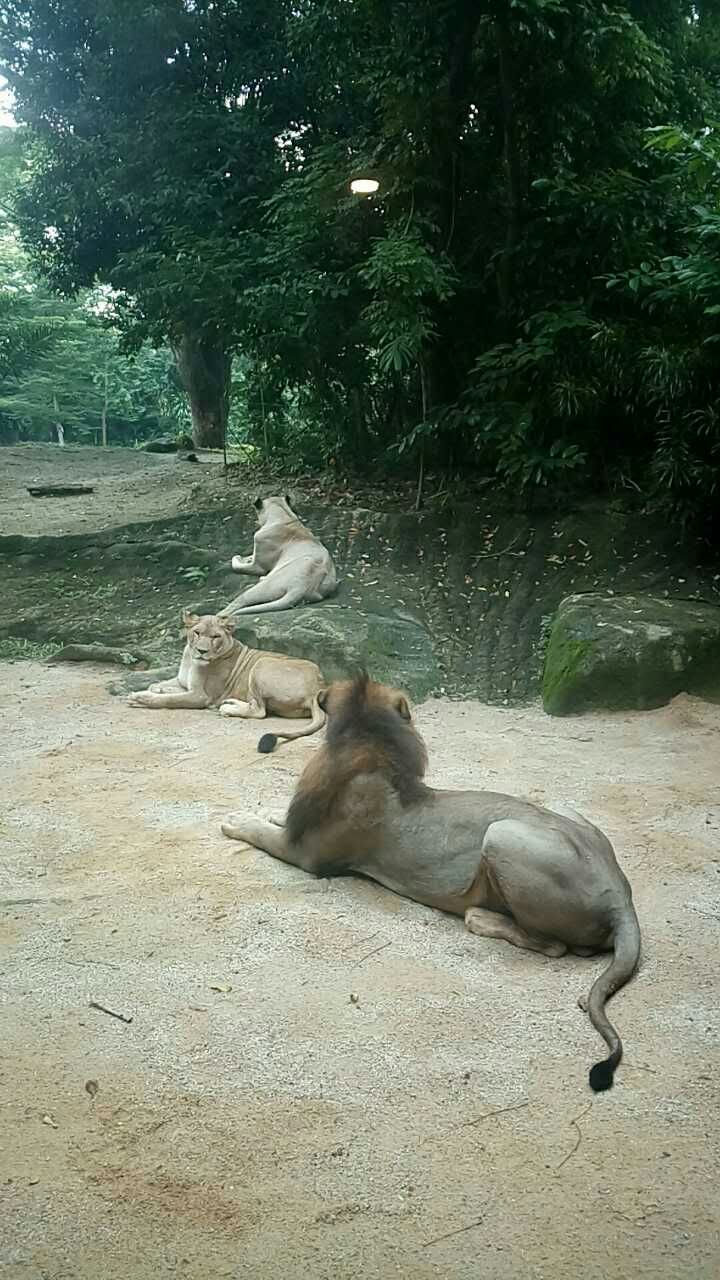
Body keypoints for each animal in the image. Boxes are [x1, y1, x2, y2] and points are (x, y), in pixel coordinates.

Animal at [126, 609, 322, 747]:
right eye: (197, 633)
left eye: (215, 636)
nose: (202, 651)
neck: (190, 659)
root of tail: (318, 689)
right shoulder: (184, 683)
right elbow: (157, 686)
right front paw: (156, 689)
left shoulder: (200, 696)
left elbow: (170, 700)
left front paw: (139, 698)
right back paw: (230, 702)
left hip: (262, 662)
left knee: (259, 710)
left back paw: (228, 708)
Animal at [222, 670, 638, 1090]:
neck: (371, 742)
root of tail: (620, 897)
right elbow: (278, 817)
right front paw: (267, 810)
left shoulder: (308, 856)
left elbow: (262, 834)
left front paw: (237, 820)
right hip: (563, 809)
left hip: (501, 834)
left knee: (556, 946)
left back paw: (479, 917)